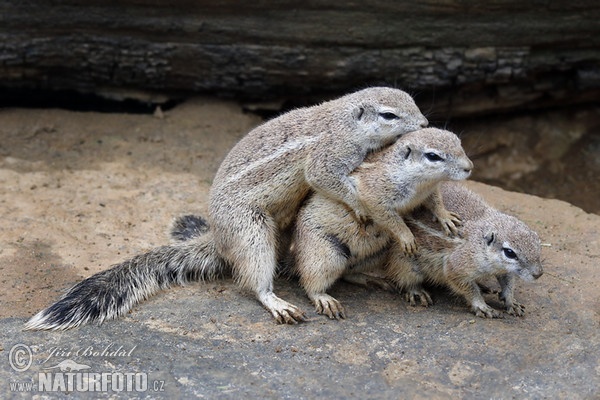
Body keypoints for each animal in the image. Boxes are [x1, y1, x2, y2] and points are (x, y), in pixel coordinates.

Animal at [290, 128, 474, 318]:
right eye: (433, 156)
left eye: (459, 142)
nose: (469, 167)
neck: (421, 184)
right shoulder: (375, 194)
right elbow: (388, 217)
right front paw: (407, 237)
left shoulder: (429, 190)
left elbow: (435, 201)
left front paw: (446, 217)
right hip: (325, 255)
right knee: (312, 282)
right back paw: (324, 299)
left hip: (377, 254)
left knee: (347, 274)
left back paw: (373, 280)